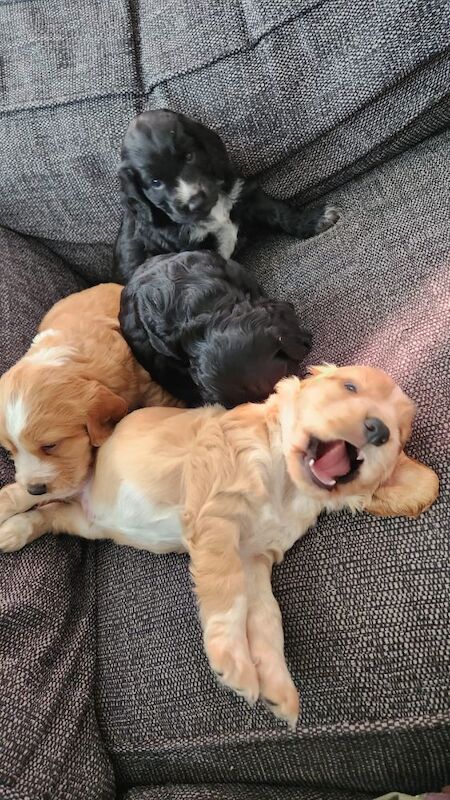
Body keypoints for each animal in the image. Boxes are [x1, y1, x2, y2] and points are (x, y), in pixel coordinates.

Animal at [0, 366, 440, 728]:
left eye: (399, 432)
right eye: (349, 386)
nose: (379, 430)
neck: (286, 487)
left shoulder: (256, 559)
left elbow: (266, 617)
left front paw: (279, 688)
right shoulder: (217, 516)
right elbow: (230, 596)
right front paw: (234, 663)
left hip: (83, 520)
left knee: (50, 514)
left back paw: (14, 531)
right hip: (58, 480)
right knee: (22, 493)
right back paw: (7, 514)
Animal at [114, 108, 340, 284]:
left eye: (189, 156)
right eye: (155, 183)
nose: (195, 202)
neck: (213, 212)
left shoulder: (244, 194)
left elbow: (279, 212)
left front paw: (313, 219)